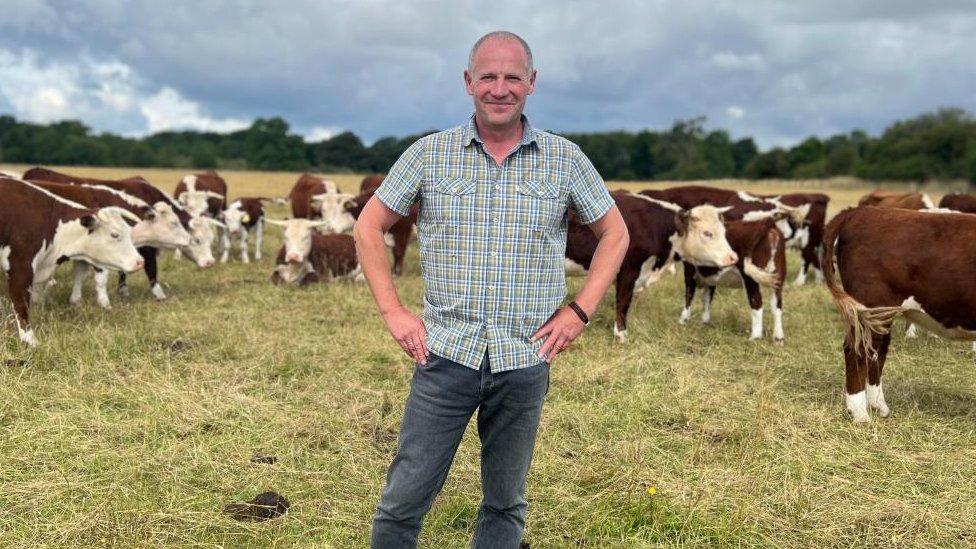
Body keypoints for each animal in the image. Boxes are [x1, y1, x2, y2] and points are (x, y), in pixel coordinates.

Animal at [560, 191, 736, 340]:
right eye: (707, 233)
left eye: (723, 230)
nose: (732, 257)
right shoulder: (629, 269)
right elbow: (623, 301)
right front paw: (621, 334)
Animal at [684, 214, 788, 342]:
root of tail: (767, 223)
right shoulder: (711, 278)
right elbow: (707, 298)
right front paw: (704, 322)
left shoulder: (689, 270)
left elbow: (689, 296)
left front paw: (683, 321)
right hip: (777, 276)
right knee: (777, 305)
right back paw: (778, 338)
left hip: (750, 279)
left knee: (757, 303)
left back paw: (755, 337)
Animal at [820, 208, 976, 422]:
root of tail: (859, 212)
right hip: (870, 307)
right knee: (856, 350)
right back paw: (860, 414)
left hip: (882, 314)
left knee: (876, 351)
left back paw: (879, 406)